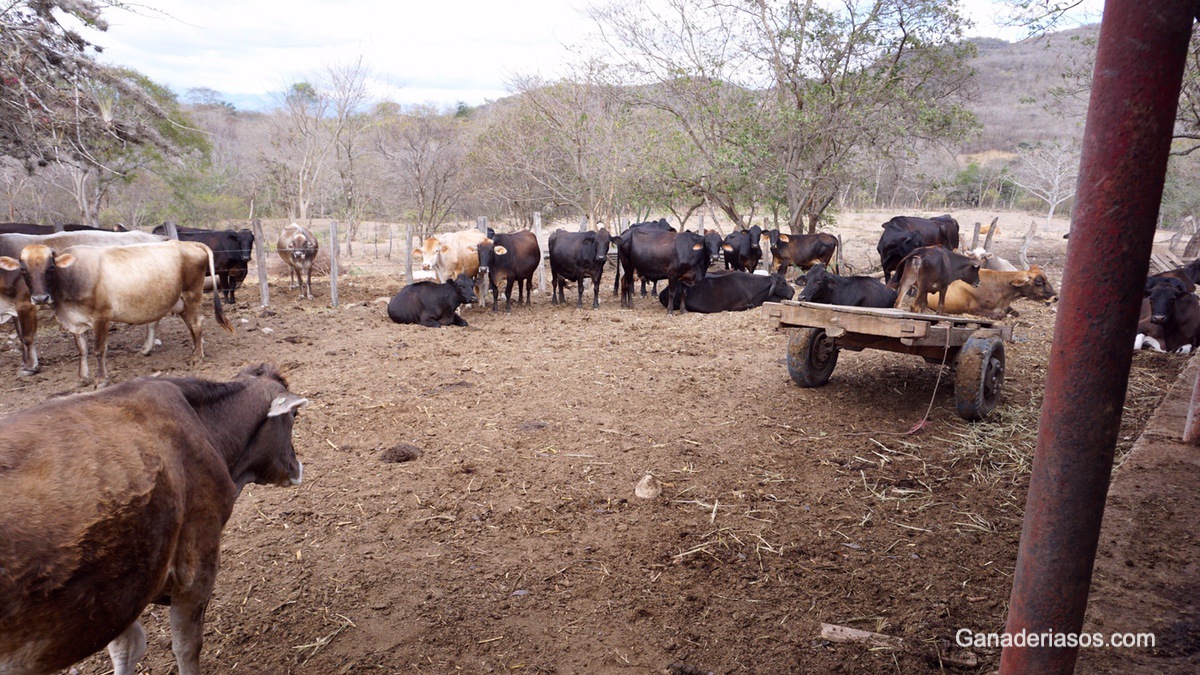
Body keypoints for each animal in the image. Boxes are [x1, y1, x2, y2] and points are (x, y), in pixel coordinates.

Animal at [0, 229, 164, 379]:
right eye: (22, 269)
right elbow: (21, 336)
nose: (40, 297)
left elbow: (27, 337)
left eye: (52, 267)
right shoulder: (15, 307)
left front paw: (30, 367)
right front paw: (25, 363)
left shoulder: (25, 304)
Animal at [0, 362, 307, 672]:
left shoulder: (119, 595)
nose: (298, 467)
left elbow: (128, 648)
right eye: (294, 416)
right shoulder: (197, 565)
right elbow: (186, 646)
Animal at [10, 239, 235, 386]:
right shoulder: (76, 321)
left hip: (192, 294)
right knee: (186, 324)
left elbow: (99, 349)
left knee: (196, 323)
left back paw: (197, 356)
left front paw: (101, 379)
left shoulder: (101, 317)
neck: (72, 277)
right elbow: (82, 349)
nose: (40, 298)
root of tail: (188, 243)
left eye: (50, 267)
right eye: (23, 269)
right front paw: (82, 378)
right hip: (178, 300)